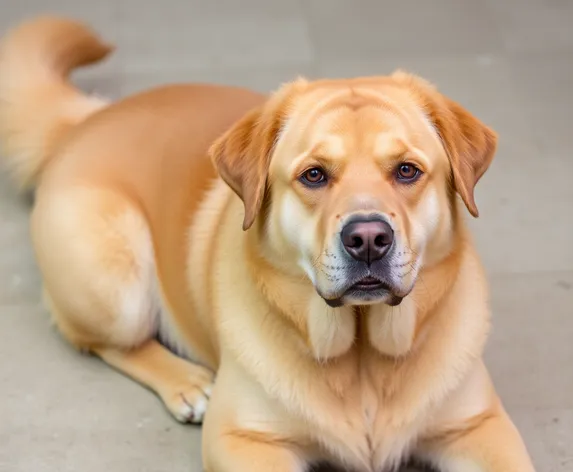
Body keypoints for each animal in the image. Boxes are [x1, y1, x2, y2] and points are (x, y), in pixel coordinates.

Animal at [1, 16, 536, 470]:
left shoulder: (480, 427)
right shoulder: (243, 440)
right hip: (117, 289)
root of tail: (84, 121)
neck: (361, 359)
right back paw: (186, 383)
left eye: (407, 170)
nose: (367, 239)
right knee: (100, 340)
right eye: (314, 175)